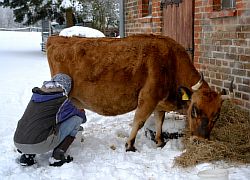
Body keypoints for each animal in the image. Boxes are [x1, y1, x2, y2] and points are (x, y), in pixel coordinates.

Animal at [47, 34, 232, 151]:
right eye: (194, 110)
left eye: (216, 116)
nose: (199, 141)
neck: (171, 62)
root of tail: (56, 38)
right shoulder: (148, 98)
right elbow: (139, 121)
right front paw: (130, 145)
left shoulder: (159, 103)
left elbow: (159, 121)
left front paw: (160, 142)